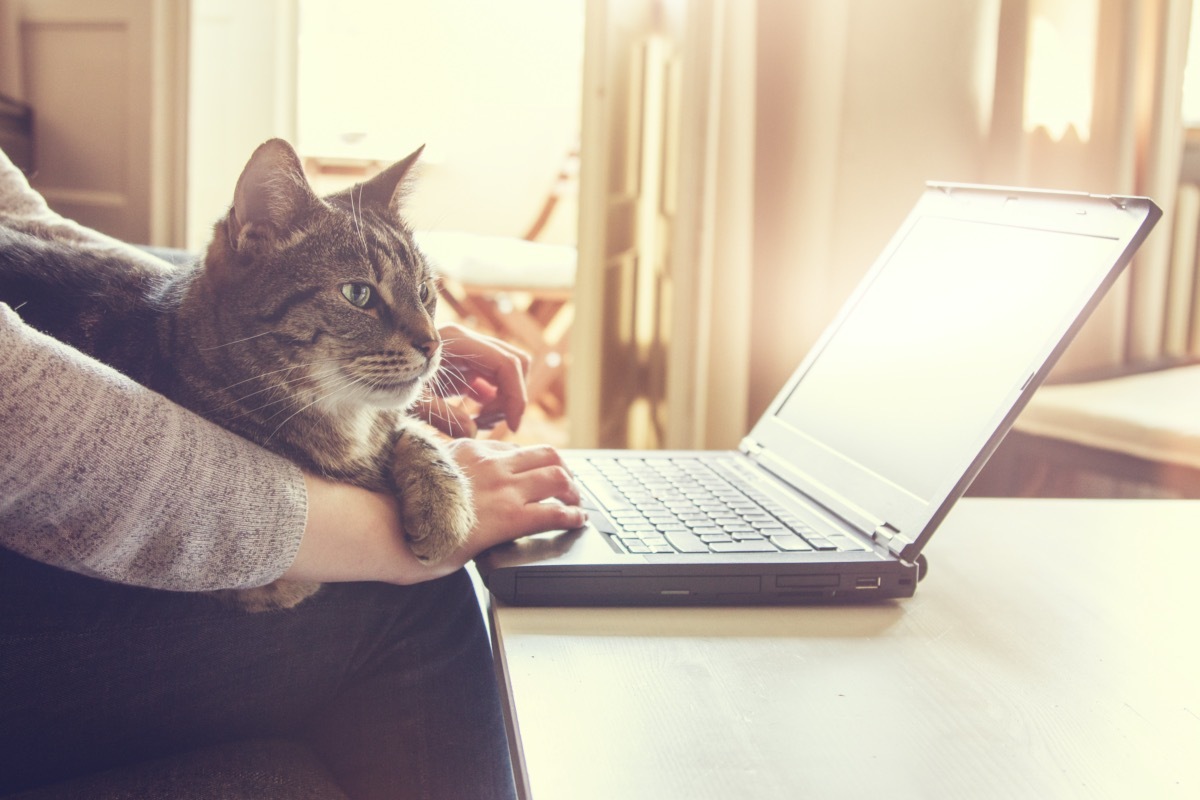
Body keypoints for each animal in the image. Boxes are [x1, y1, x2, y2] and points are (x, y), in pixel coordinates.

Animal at [1, 139, 477, 614]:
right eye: (358, 294)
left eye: (425, 292)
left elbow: (413, 432)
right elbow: (284, 579)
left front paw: (444, 506)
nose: (434, 343)